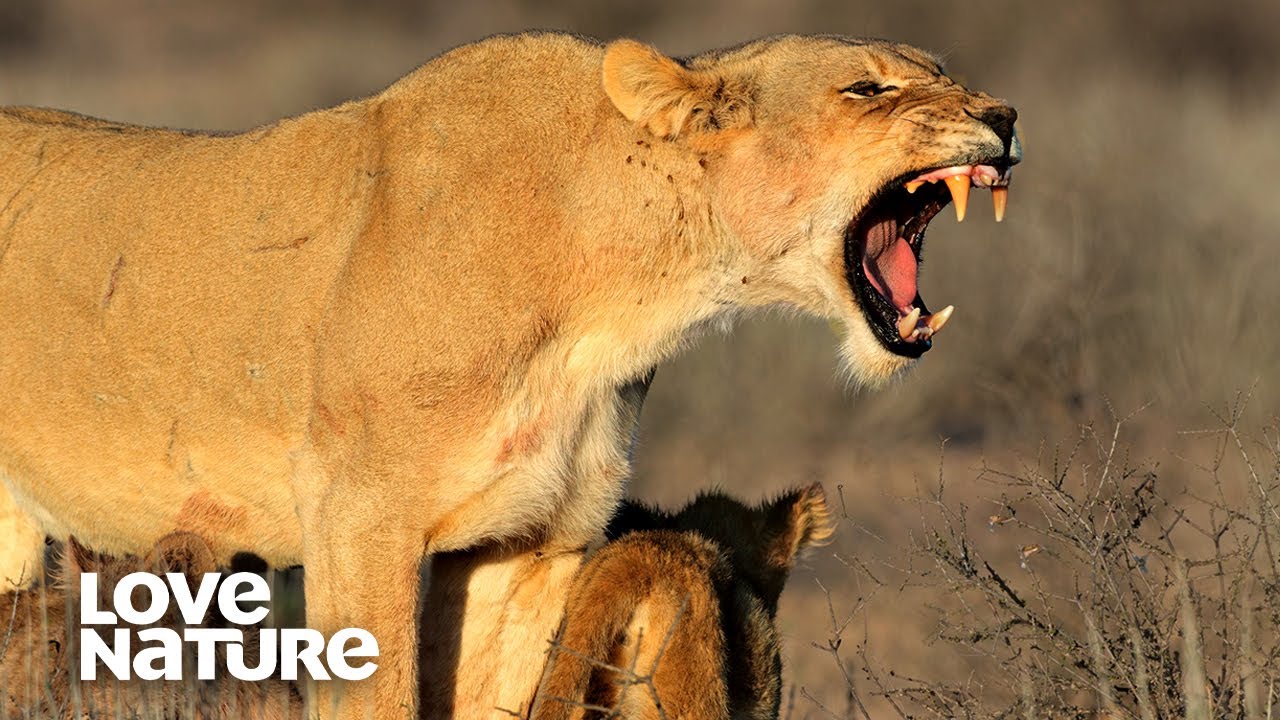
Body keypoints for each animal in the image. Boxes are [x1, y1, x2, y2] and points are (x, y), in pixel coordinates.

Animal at [0, 32, 1019, 717]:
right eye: (867, 87)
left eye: (941, 72)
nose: (1005, 118)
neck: (619, 292)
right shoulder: (357, 518)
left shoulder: (523, 541)